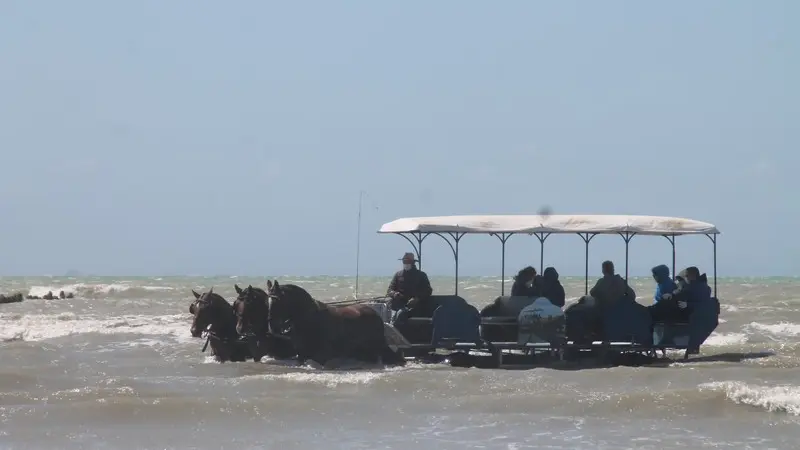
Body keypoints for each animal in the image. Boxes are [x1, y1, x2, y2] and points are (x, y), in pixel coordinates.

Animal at [234, 280, 404, 368]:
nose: (239, 329)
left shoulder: (321, 357)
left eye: (277, 302)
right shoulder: (300, 355)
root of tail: (374, 313)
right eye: (236, 304)